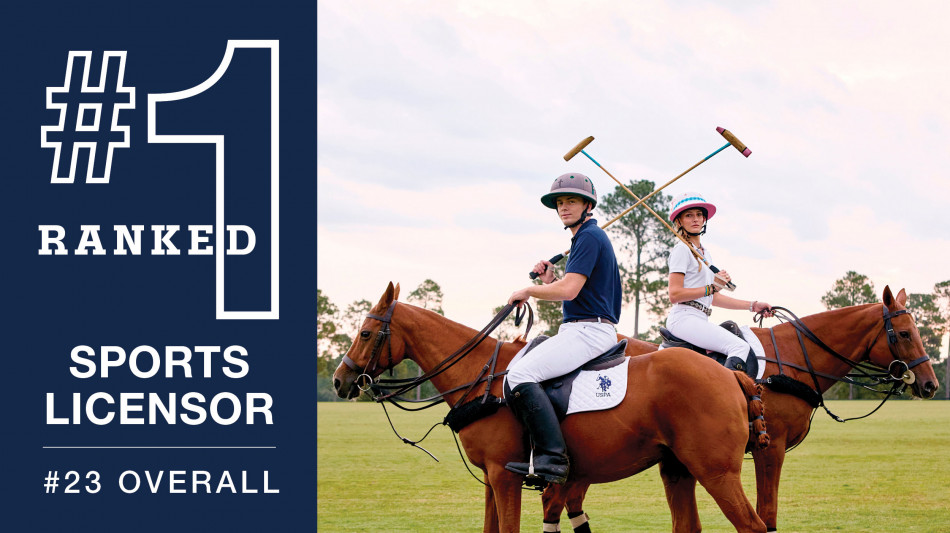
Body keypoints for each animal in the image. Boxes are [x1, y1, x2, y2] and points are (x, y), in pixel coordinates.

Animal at [333, 282, 771, 533]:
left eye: (366, 333)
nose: (339, 380)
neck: (482, 377)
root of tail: (731, 374)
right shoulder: (491, 479)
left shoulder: (505, 475)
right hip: (677, 468)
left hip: (715, 469)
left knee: (752, 525)